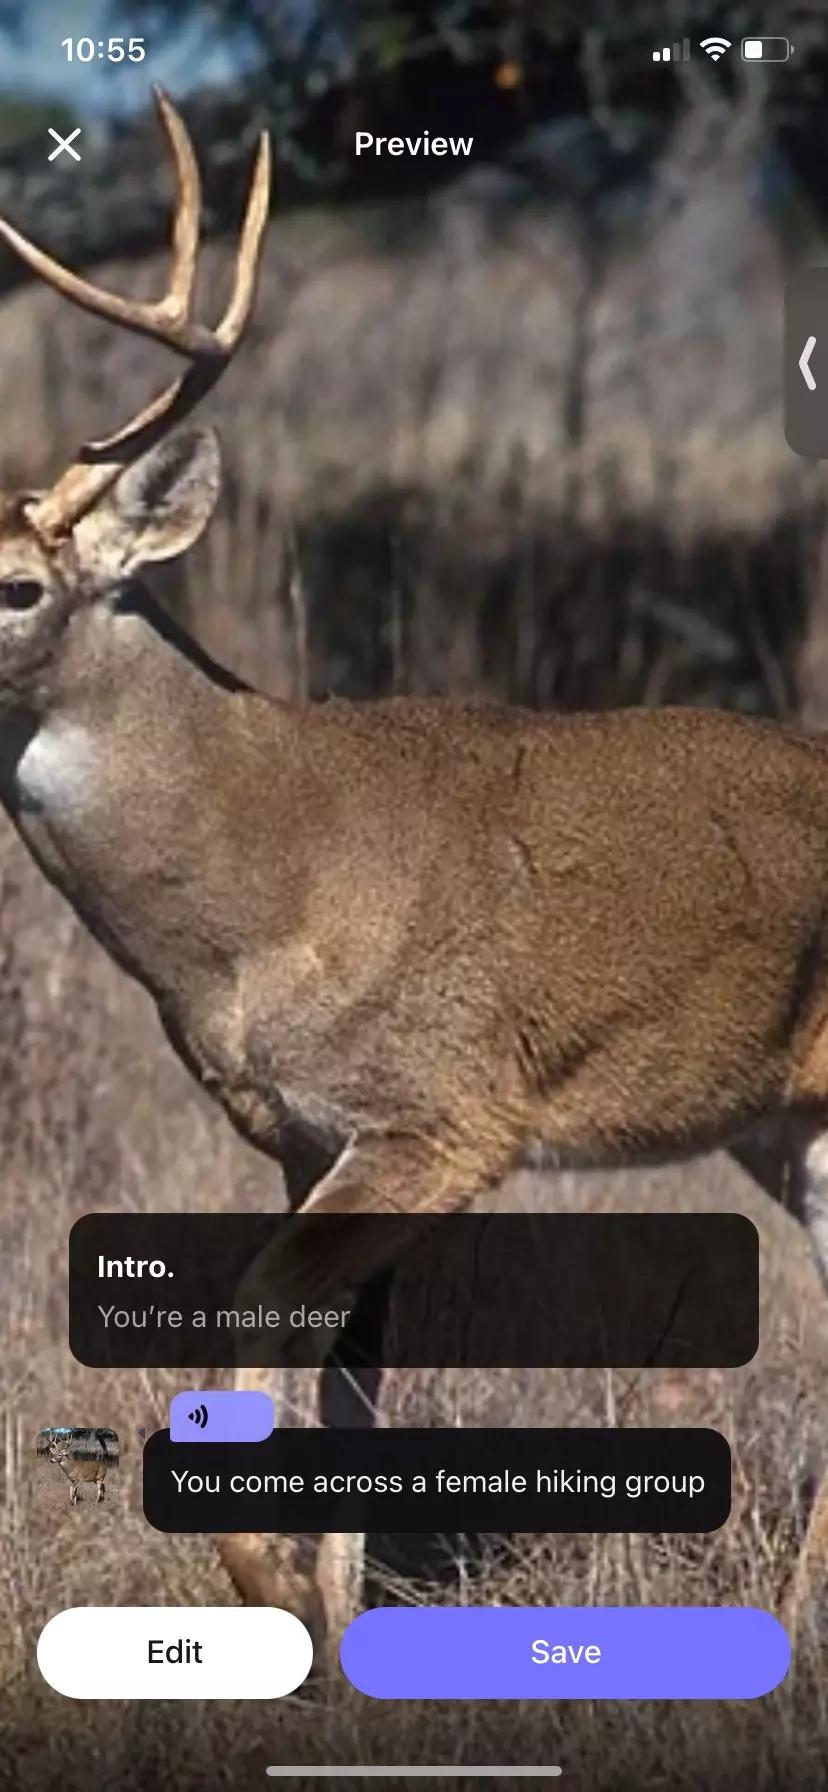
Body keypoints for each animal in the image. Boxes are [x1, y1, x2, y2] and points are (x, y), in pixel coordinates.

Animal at [1, 86, 828, 1660]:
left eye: (17, 582)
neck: (262, 887)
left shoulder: (445, 1111)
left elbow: (257, 1305)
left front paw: (265, 1582)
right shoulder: (301, 1133)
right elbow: (347, 1375)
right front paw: (327, 1634)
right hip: (787, 1124)